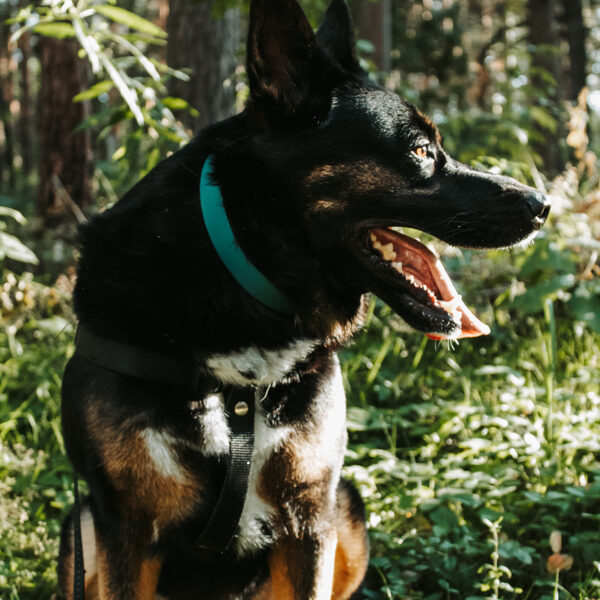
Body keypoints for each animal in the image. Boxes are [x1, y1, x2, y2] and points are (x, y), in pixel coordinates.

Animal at [58, 1, 552, 600]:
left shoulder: (309, 517)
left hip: (348, 511)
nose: (542, 204)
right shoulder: (125, 528)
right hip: (78, 531)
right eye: (419, 151)